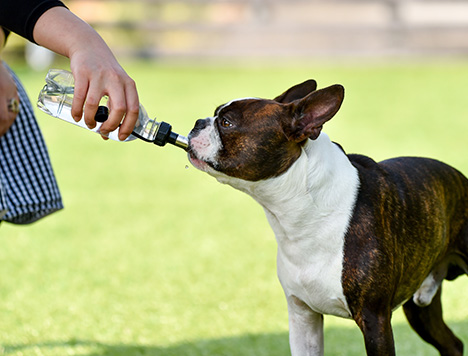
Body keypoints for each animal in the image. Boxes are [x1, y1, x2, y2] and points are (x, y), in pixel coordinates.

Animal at [186, 79, 468, 354]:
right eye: (215, 115)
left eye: (226, 123)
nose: (197, 122)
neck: (301, 207)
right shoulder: (302, 316)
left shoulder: (375, 320)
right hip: (420, 308)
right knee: (452, 344)